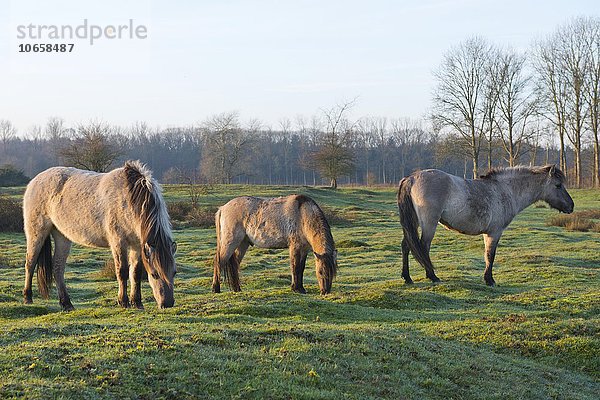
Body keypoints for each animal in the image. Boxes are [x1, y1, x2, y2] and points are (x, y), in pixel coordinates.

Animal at [22, 159, 177, 310]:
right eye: (154, 274)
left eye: (174, 272)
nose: (167, 304)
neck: (130, 199)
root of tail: (34, 181)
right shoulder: (118, 242)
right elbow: (122, 271)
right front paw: (123, 302)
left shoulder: (137, 245)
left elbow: (135, 273)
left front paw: (137, 302)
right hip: (36, 233)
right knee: (30, 263)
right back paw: (28, 297)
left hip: (62, 236)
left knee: (57, 268)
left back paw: (66, 303)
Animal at [396, 164, 576, 286]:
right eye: (558, 185)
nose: (571, 206)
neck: (505, 191)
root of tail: (412, 178)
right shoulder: (494, 232)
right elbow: (490, 255)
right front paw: (489, 280)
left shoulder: (487, 233)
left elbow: (487, 255)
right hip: (429, 224)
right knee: (423, 247)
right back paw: (432, 276)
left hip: (415, 223)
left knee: (406, 245)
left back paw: (407, 278)